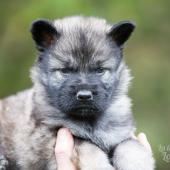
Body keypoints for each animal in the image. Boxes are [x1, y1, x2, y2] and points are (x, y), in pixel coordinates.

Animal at [0, 16, 154, 170]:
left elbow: (131, 146)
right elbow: (87, 147)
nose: (84, 96)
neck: (90, 121)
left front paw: (138, 164)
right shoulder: (49, 137)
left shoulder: (121, 135)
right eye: (65, 70)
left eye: (100, 70)